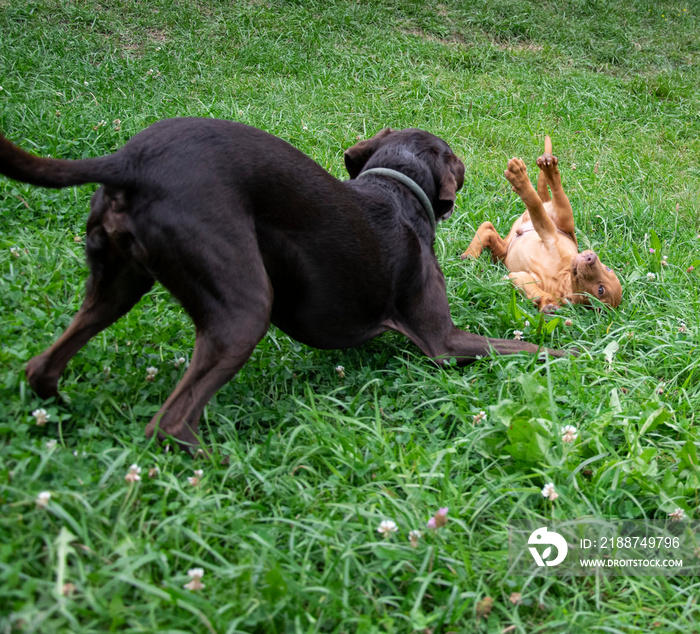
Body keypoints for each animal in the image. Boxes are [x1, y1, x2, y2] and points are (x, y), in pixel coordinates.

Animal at [462, 136, 620, 312]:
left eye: (600, 290)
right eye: (608, 268)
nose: (591, 256)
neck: (560, 278)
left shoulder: (522, 273)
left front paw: (546, 303)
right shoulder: (550, 235)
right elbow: (535, 203)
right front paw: (522, 180)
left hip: (504, 252)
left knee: (488, 229)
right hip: (564, 216)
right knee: (554, 189)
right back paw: (547, 164)